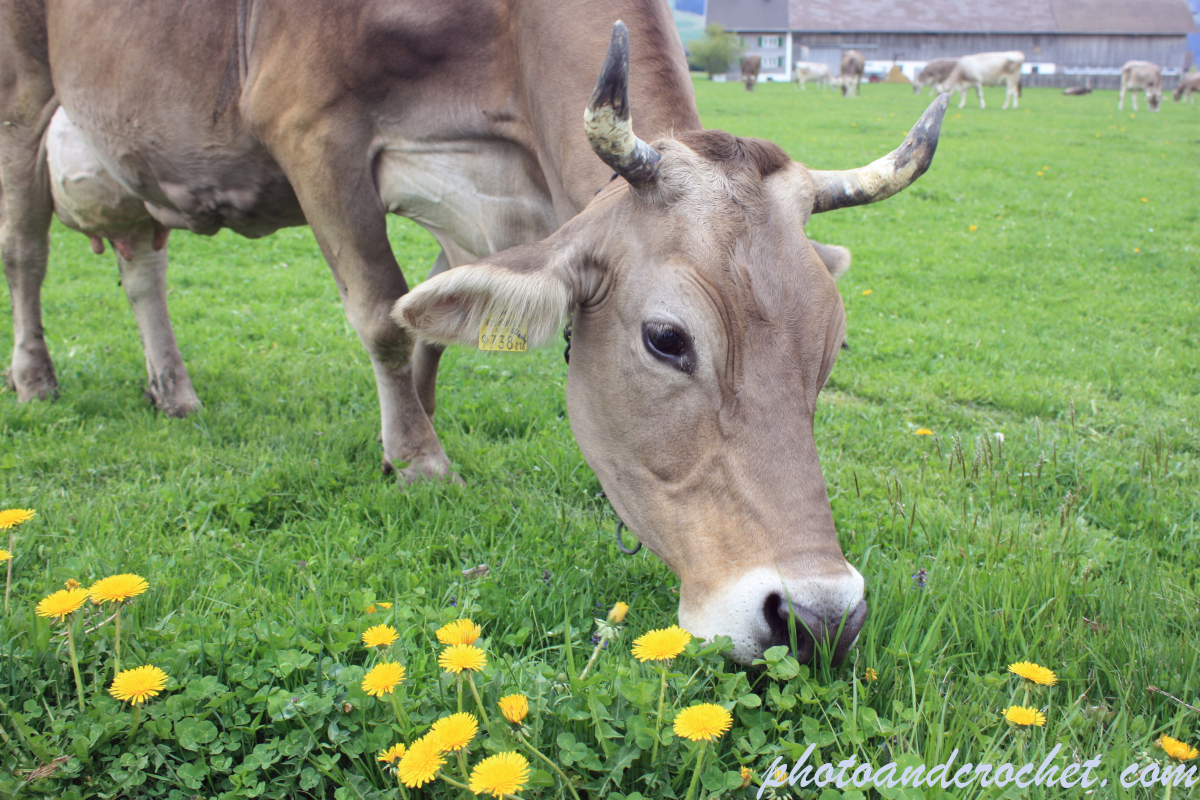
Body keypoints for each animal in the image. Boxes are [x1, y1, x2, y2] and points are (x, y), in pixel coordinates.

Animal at [2, 0, 948, 665]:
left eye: (830, 351)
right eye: (666, 339)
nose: (821, 618)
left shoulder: (482, 204)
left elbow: (428, 326)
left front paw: (406, 438)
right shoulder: (310, 125)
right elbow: (382, 311)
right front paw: (422, 462)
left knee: (140, 262)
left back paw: (173, 390)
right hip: (23, 92)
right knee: (26, 244)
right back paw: (37, 376)